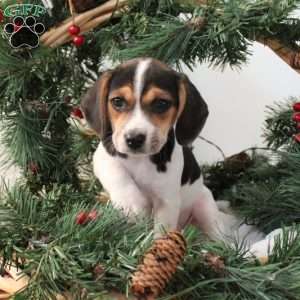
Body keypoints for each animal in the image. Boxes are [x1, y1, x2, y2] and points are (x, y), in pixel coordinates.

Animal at [81, 58, 264, 244]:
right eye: (117, 102)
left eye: (161, 104)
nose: (134, 139)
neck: (141, 159)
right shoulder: (103, 154)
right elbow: (116, 172)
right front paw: (131, 203)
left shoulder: (167, 202)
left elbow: (161, 231)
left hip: (204, 207)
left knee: (219, 239)